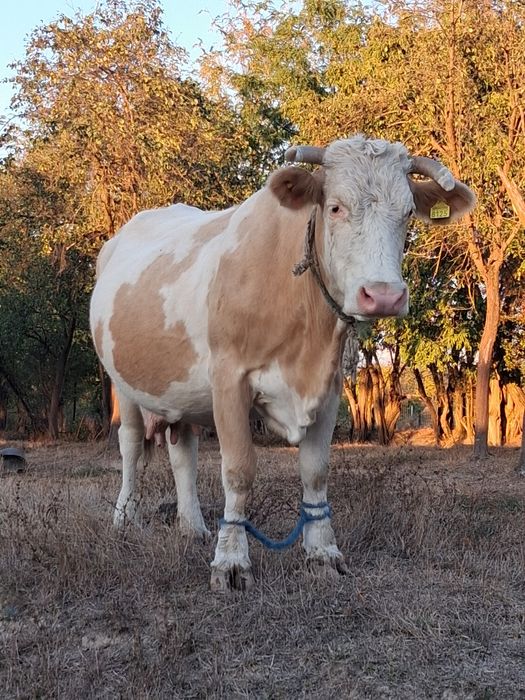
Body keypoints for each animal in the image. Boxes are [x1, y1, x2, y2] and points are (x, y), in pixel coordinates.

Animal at [90, 135, 476, 591]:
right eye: (335, 207)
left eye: (406, 214)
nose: (383, 295)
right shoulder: (229, 379)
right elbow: (238, 470)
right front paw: (231, 563)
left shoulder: (329, 387)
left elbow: (315, 471)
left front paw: (323, 554)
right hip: (125, 384)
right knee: (131, 446)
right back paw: (124, 520)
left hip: (179, 389)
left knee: (183, 450)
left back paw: (193, 528)